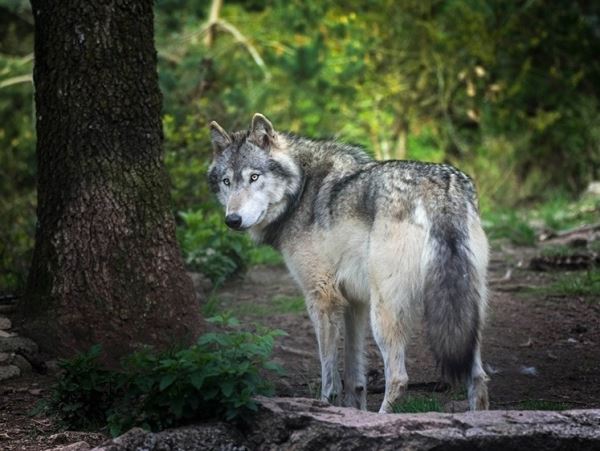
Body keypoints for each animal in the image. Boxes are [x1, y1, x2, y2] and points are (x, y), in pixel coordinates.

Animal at [206, 114, 488, 414]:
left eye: (254, 177)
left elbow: (329, 377)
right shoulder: (355, 302)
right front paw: (354, 410)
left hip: (384, 313)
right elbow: (355, 378)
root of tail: (440, 189)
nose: (232, 220)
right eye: (226, 181)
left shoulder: (322, 298)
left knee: (399, 378)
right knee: (478, 376)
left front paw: (324, 406)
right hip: (463, 313)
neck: (301, 190)